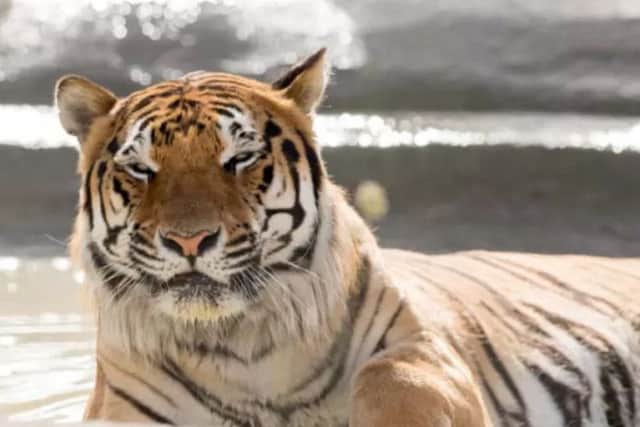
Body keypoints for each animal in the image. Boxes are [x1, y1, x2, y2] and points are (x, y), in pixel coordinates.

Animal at [54, 48, 640, 427]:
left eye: (240, 158)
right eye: (141, 168)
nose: (190, 241)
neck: (240, 349)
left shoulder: (418, 347)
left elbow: (392, 383)